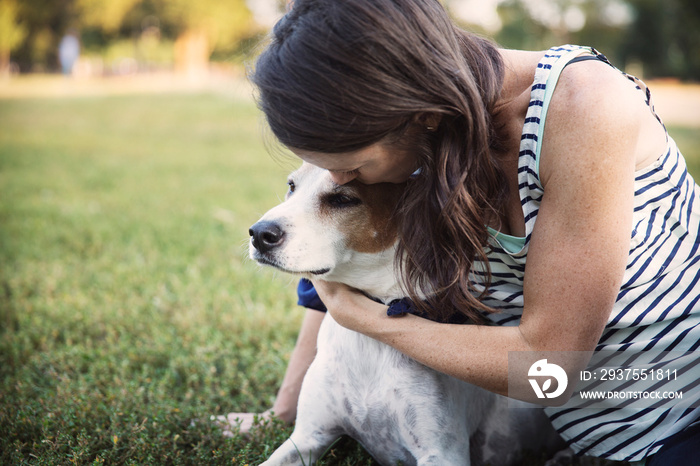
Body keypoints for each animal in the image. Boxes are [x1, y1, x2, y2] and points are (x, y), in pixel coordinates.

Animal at [246, 162, 564, 464]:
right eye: (292, 186)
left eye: (342, 199)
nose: (259, 233)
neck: (368, 341)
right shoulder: (308, 437)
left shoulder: (442, 453)